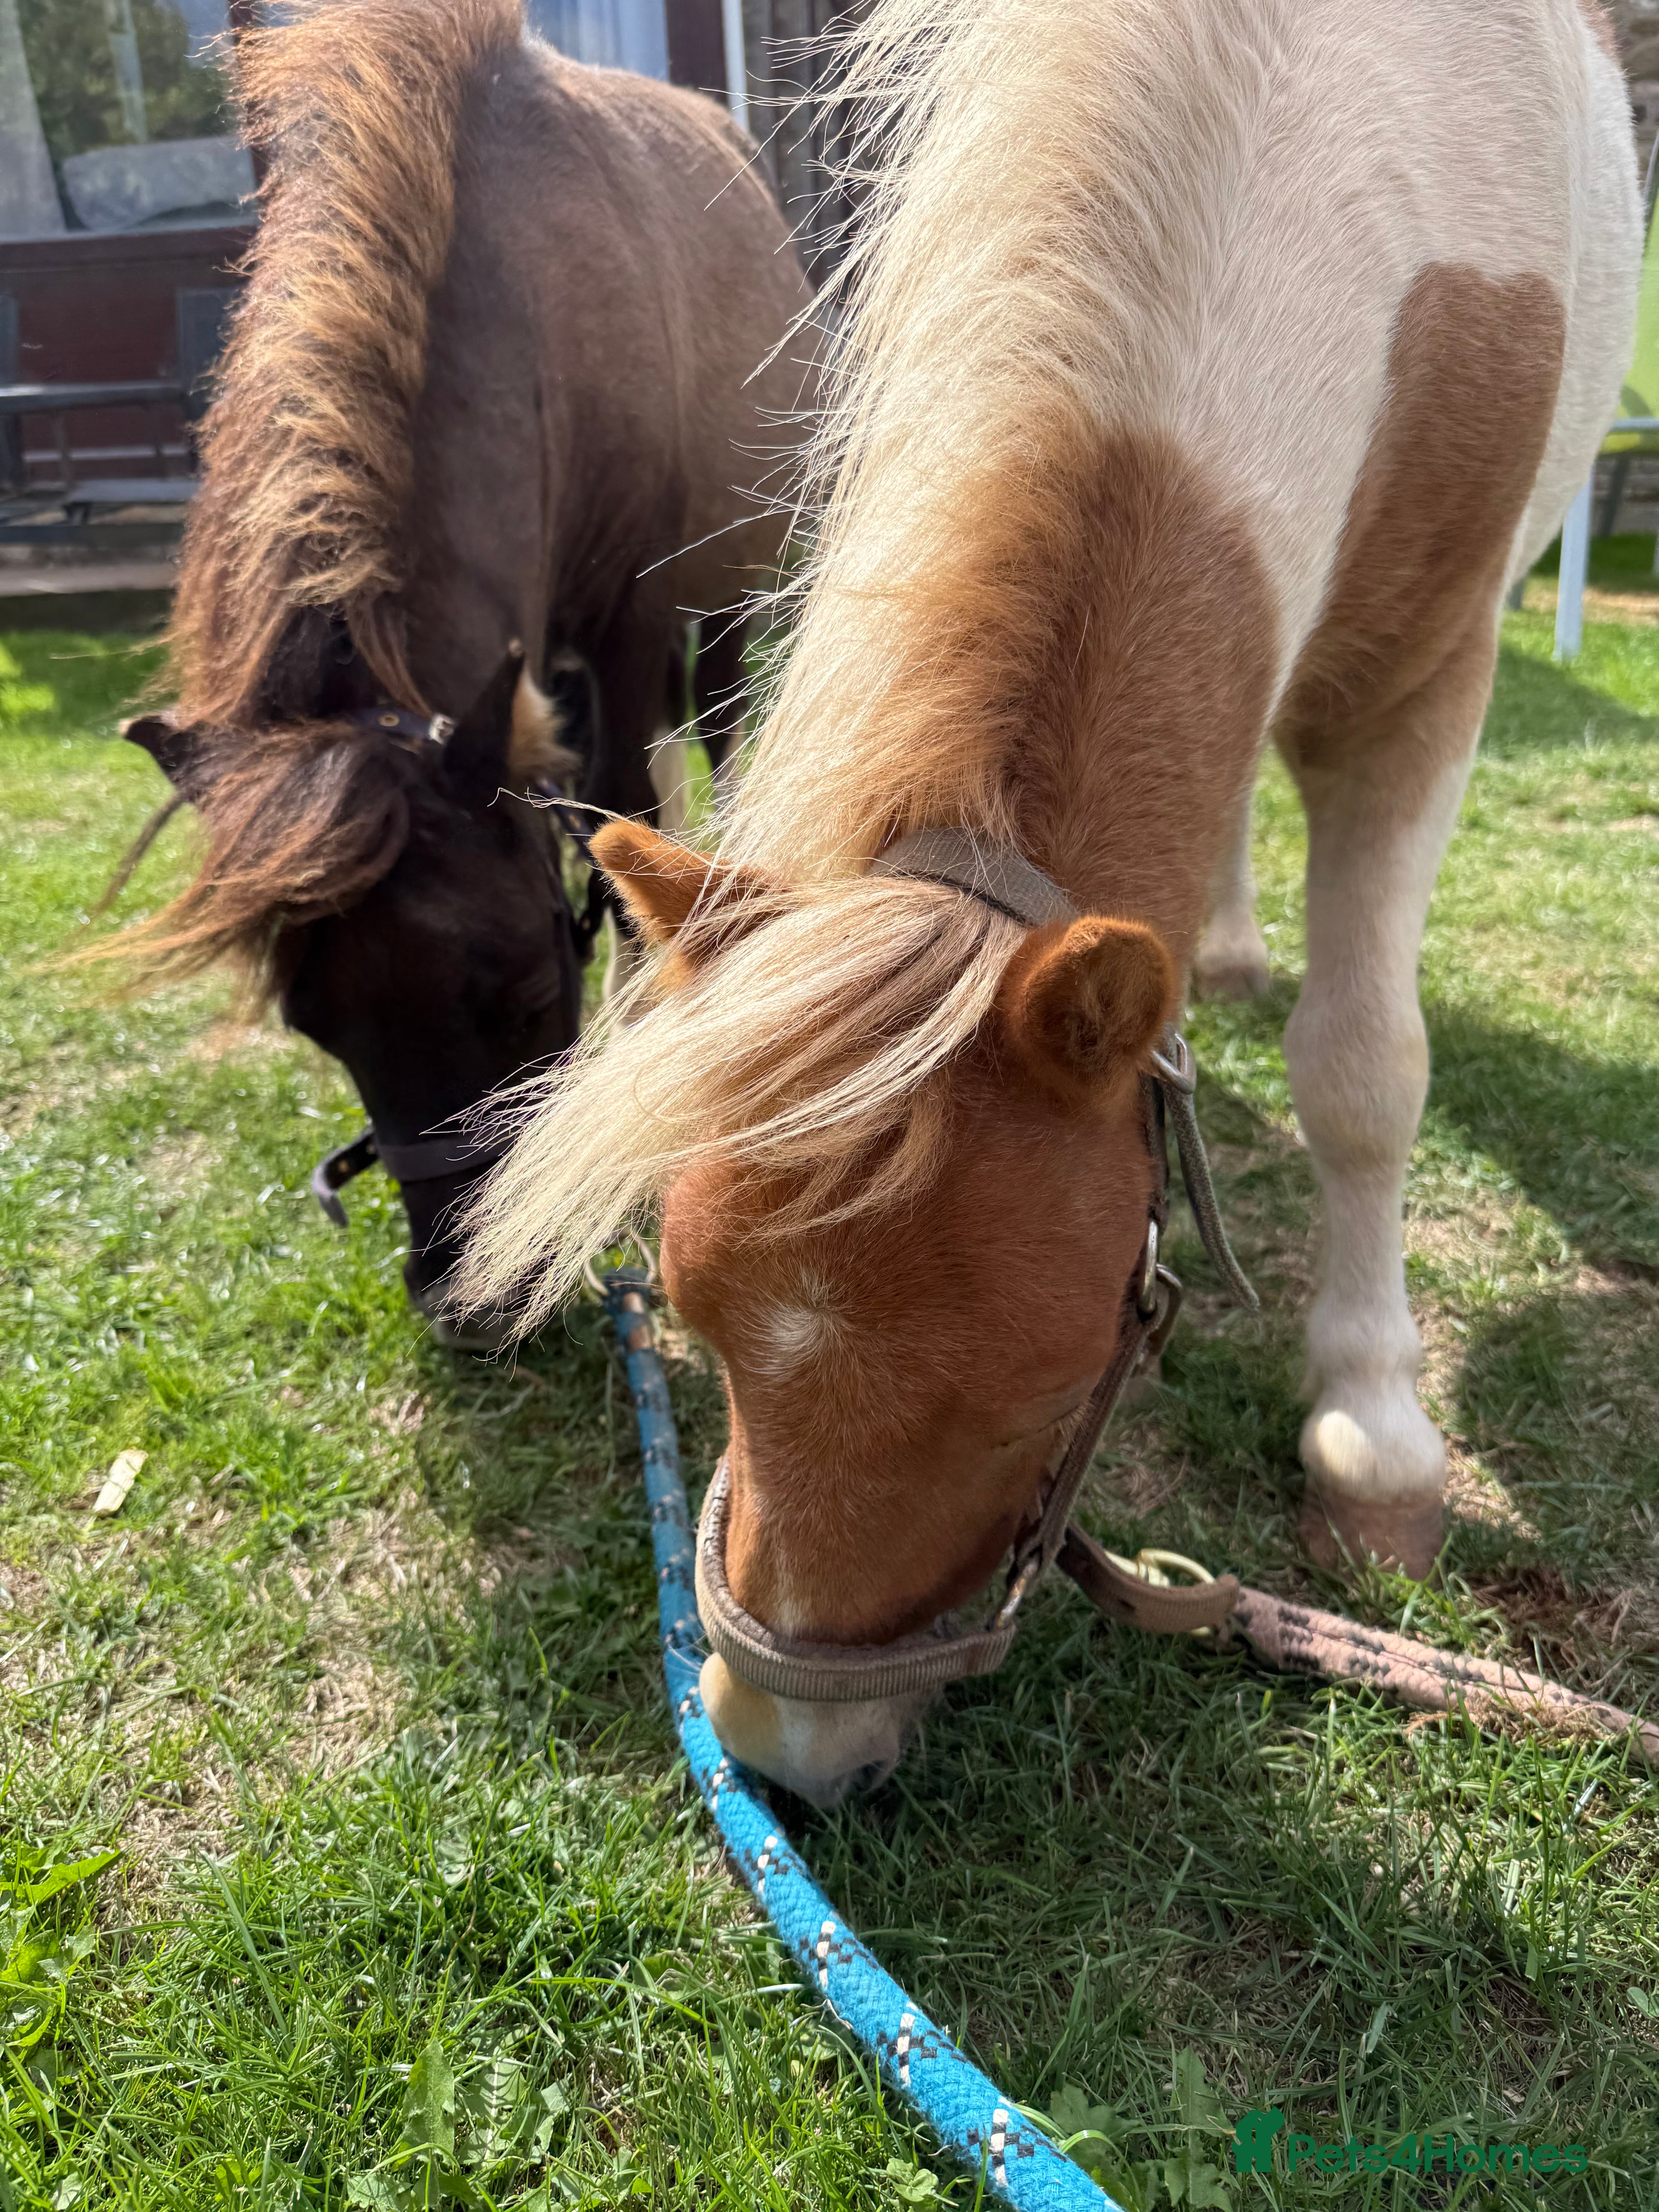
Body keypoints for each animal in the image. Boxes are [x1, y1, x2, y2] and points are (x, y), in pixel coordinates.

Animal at [112, 0, 812, 1344]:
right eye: (315, 1023)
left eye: (528, 985)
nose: (466, 1304)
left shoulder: (632, 613)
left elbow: (621, 825)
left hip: (731, 592)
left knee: (719, 730)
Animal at [456, 0, 1639, 1799]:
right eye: (703, 1336)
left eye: (1041, 1400)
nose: (782, 1747)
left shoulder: (1424, 688)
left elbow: (1366, 1072)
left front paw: (1372, 1436)